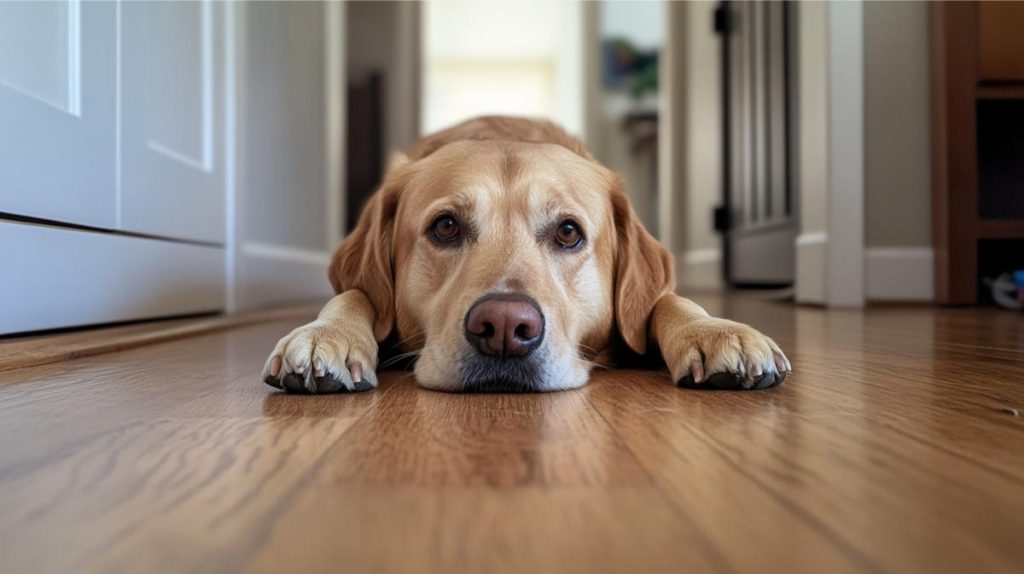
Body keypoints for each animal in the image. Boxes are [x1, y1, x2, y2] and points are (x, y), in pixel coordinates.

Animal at [260, 116, 786, 392]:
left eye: (569, 232)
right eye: (445, 226)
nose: (505, 329)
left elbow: (668, 300)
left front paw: (715, 332)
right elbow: (354, 294)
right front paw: (327, 335)